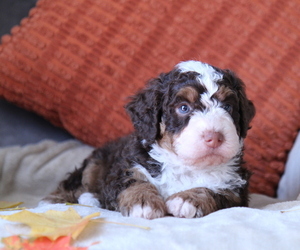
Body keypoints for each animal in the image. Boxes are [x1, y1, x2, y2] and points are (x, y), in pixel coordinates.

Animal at [42, 60, 255, 219]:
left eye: (227, 107)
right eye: (183, 108)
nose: (215, 137)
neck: (185, 166)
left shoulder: (237, 189)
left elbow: (217, 190)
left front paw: (187, 200)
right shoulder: (125, 168)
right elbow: (134, 182)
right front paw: (143, 203)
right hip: (95, 162)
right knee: (75, 184)